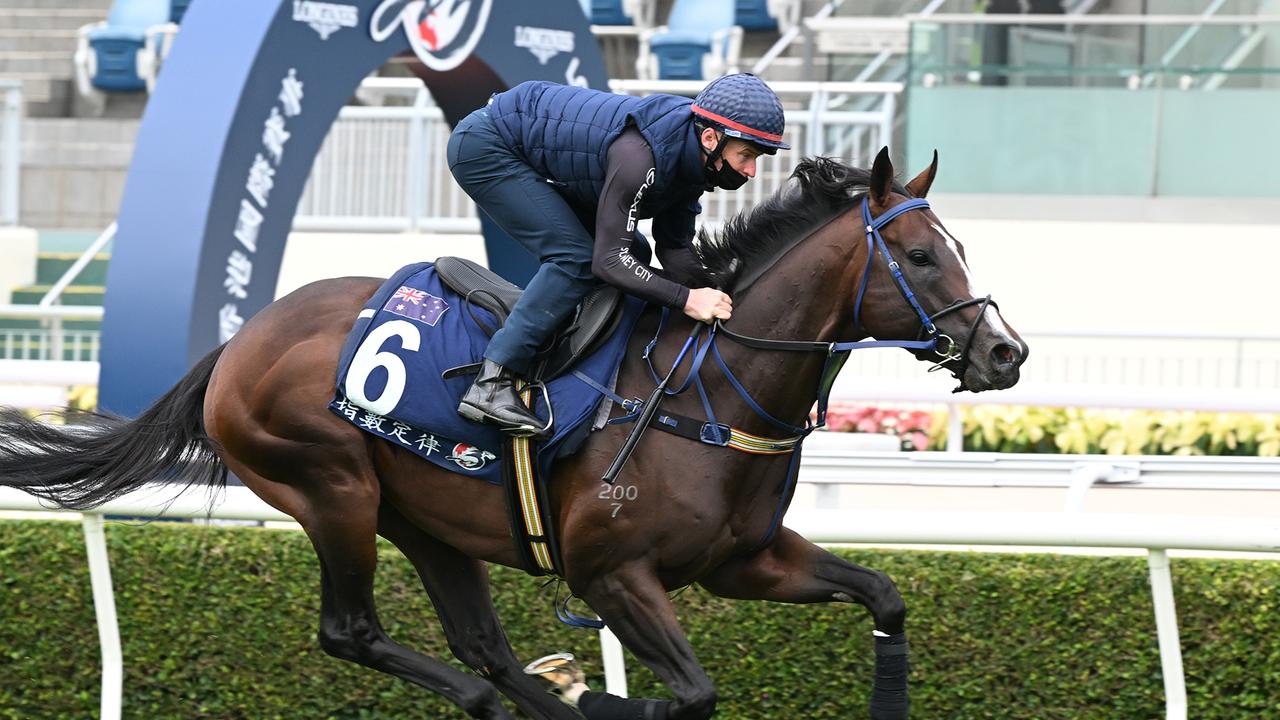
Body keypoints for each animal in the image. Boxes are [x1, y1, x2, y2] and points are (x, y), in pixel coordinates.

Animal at [0, 148, 1024, 712]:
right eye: (921, 255)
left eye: (962, 247)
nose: (1005, 352)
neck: (708, 395)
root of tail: (241, 341)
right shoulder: (612, 574)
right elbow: (694, 694)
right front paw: (616, 697)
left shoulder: (745, 562)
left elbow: (886, 595)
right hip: (332, 489)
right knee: (353, 632)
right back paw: (521, 701)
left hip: (425, 517)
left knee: (480, 645)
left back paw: (545, 693)